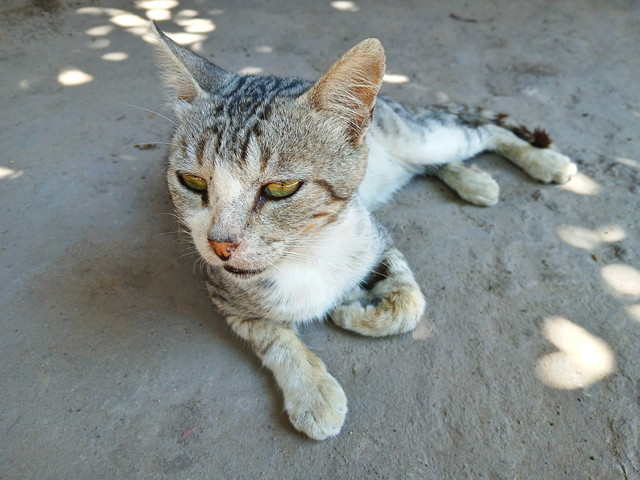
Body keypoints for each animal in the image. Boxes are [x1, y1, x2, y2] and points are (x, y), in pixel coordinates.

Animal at [150, 22, 577, 440]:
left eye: (281, 188)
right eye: (192, 182)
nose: (220, 244)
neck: (307, 253)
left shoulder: (376, 237)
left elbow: (410, 306)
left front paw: (352, 313)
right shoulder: (223, 294)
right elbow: (273, 338)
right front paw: (314, 393)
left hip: (422, 139)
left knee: (480, 132)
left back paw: (544, 161)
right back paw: (474, 180)